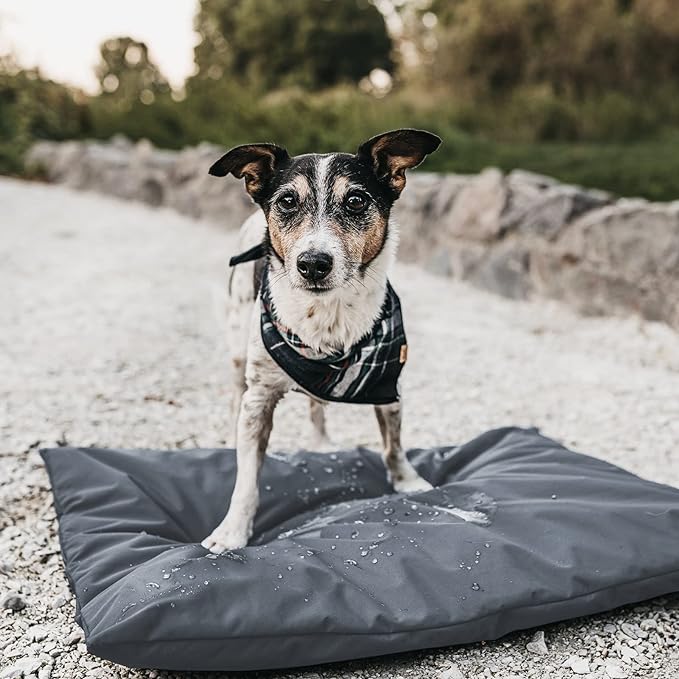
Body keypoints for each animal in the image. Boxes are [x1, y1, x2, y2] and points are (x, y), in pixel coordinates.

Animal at [202, 130, 440, 556]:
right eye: (286, 201)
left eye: (356, 201)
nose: (313, 263)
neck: (327, 316)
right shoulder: (259, 400)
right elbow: (246, 481)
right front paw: (232, 532)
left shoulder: (388, 384)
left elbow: (393, 444)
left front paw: (408, 481)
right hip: (237, 349)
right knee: (234, 394)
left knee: (316, 406)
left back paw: (320, 441)